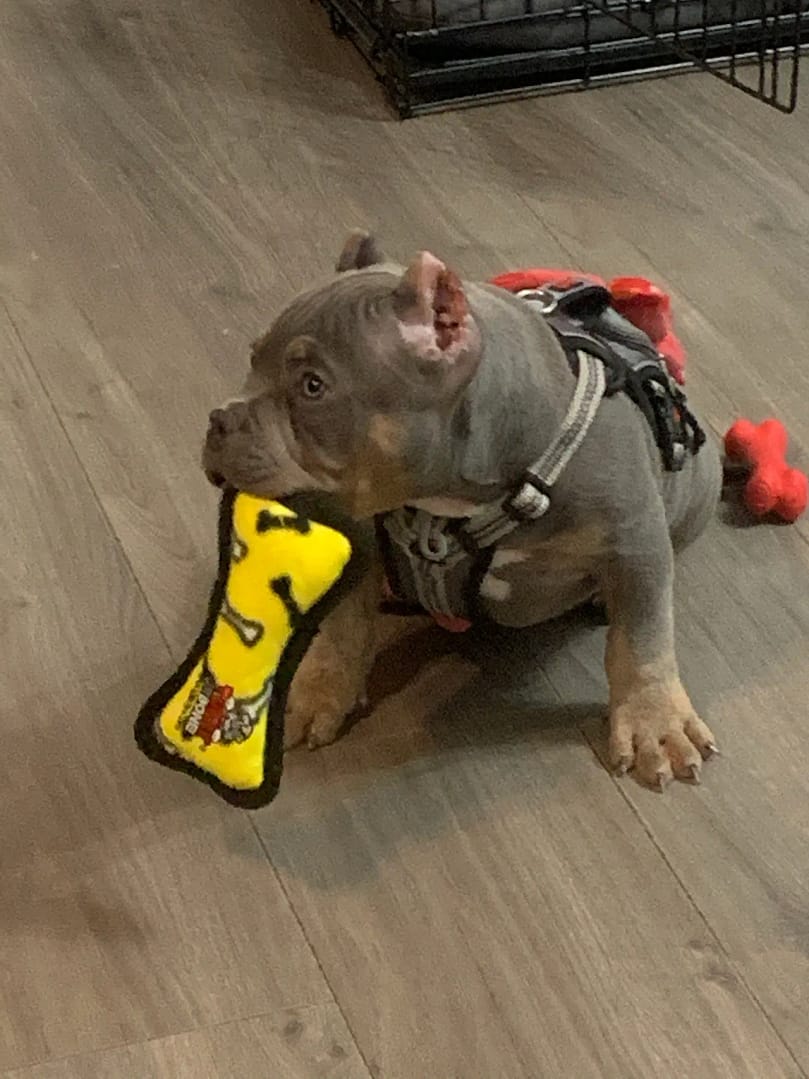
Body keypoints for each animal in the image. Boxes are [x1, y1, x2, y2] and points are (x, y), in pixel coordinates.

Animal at [206, 234, 724, 785]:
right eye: (253, 357)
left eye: (312, 386)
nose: (218, 420)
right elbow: (346, 626)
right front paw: (322, 688)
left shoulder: (635, 545)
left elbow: (640, 640)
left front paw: (655, 722)